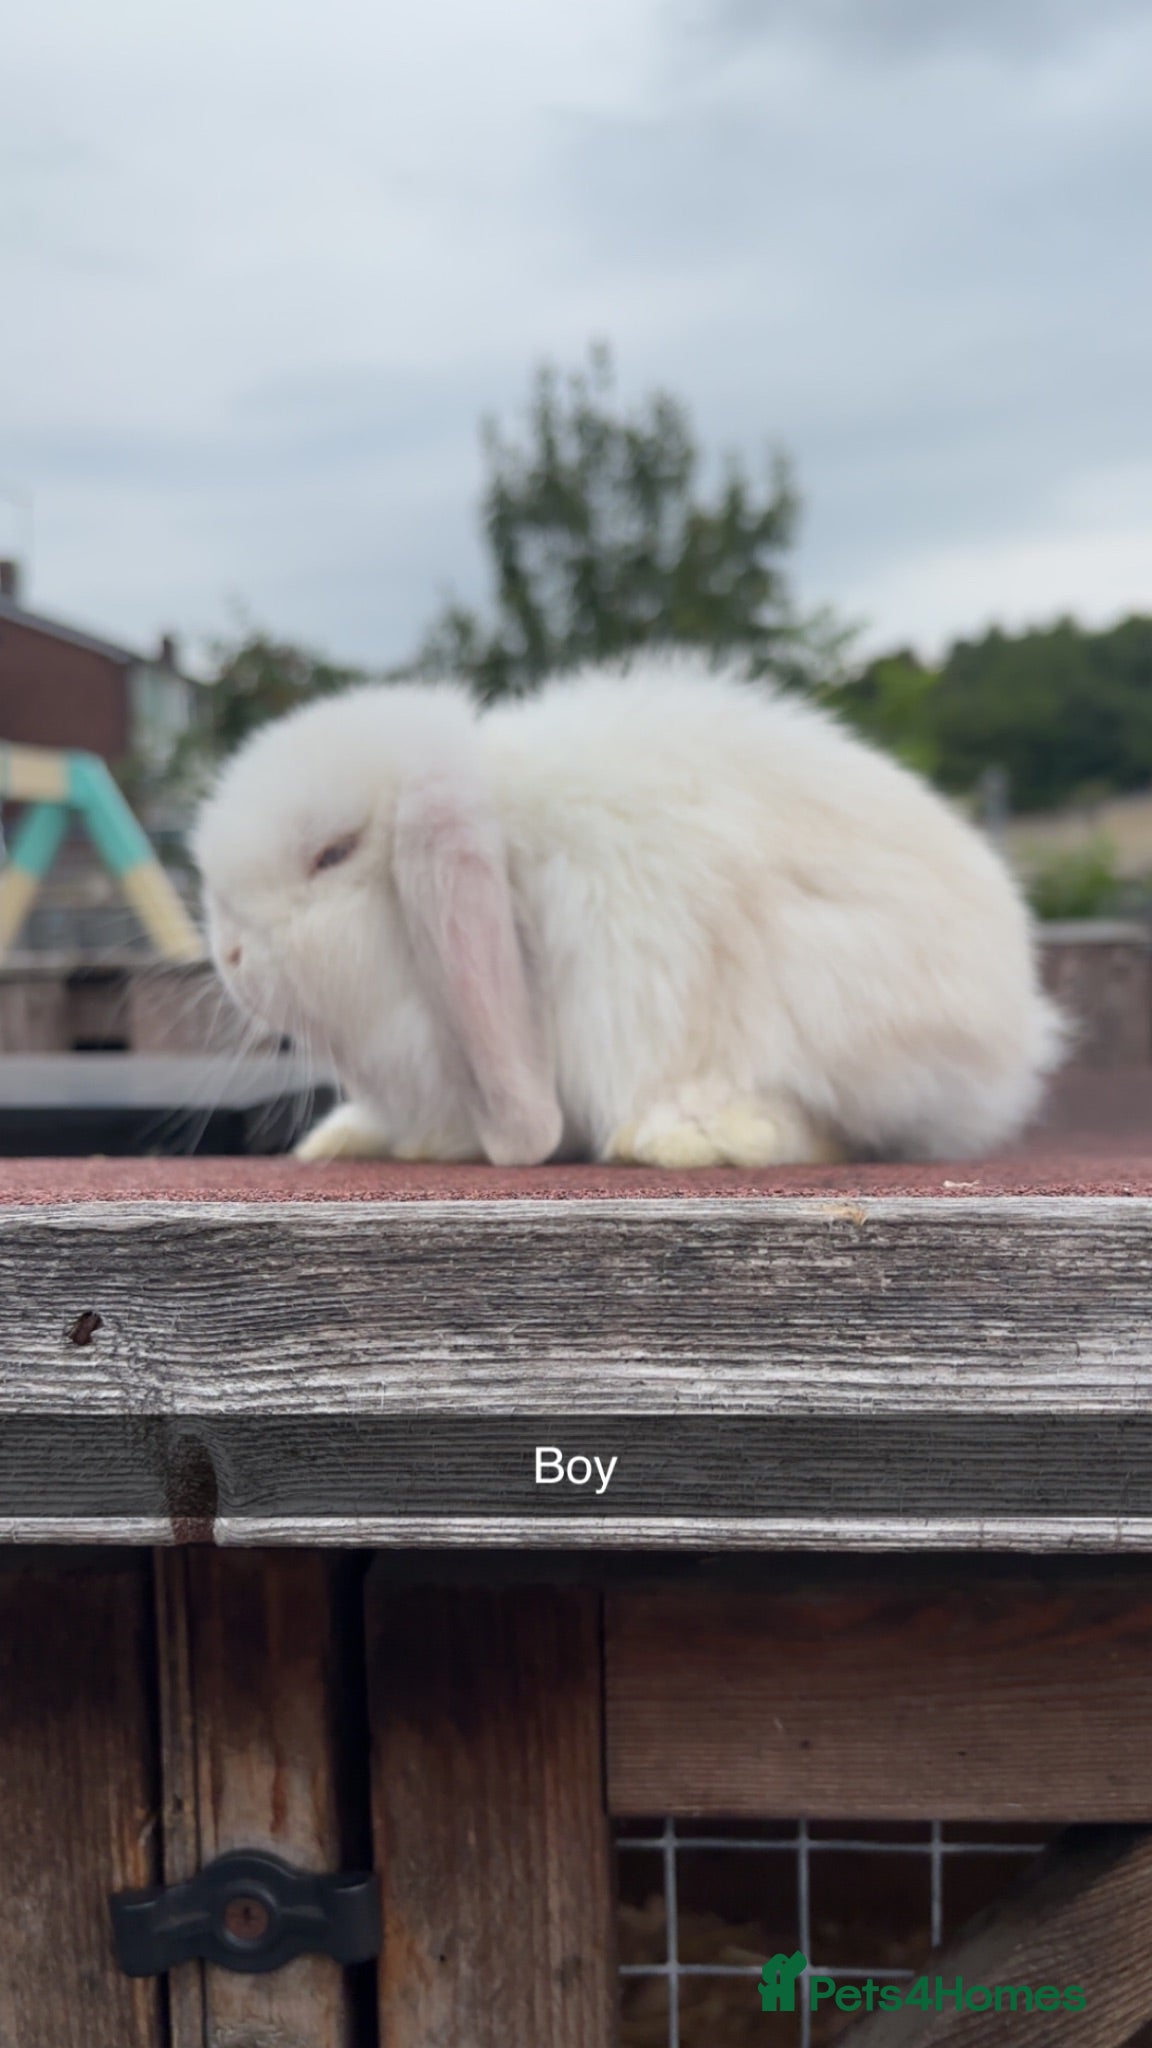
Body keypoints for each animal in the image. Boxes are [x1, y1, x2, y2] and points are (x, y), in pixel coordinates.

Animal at [192, 653, 1067, 1169]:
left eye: (332, 853)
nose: (228, 958)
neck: (510, 854)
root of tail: (1020, 1021)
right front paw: (346, 1138)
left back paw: (694, 1136)